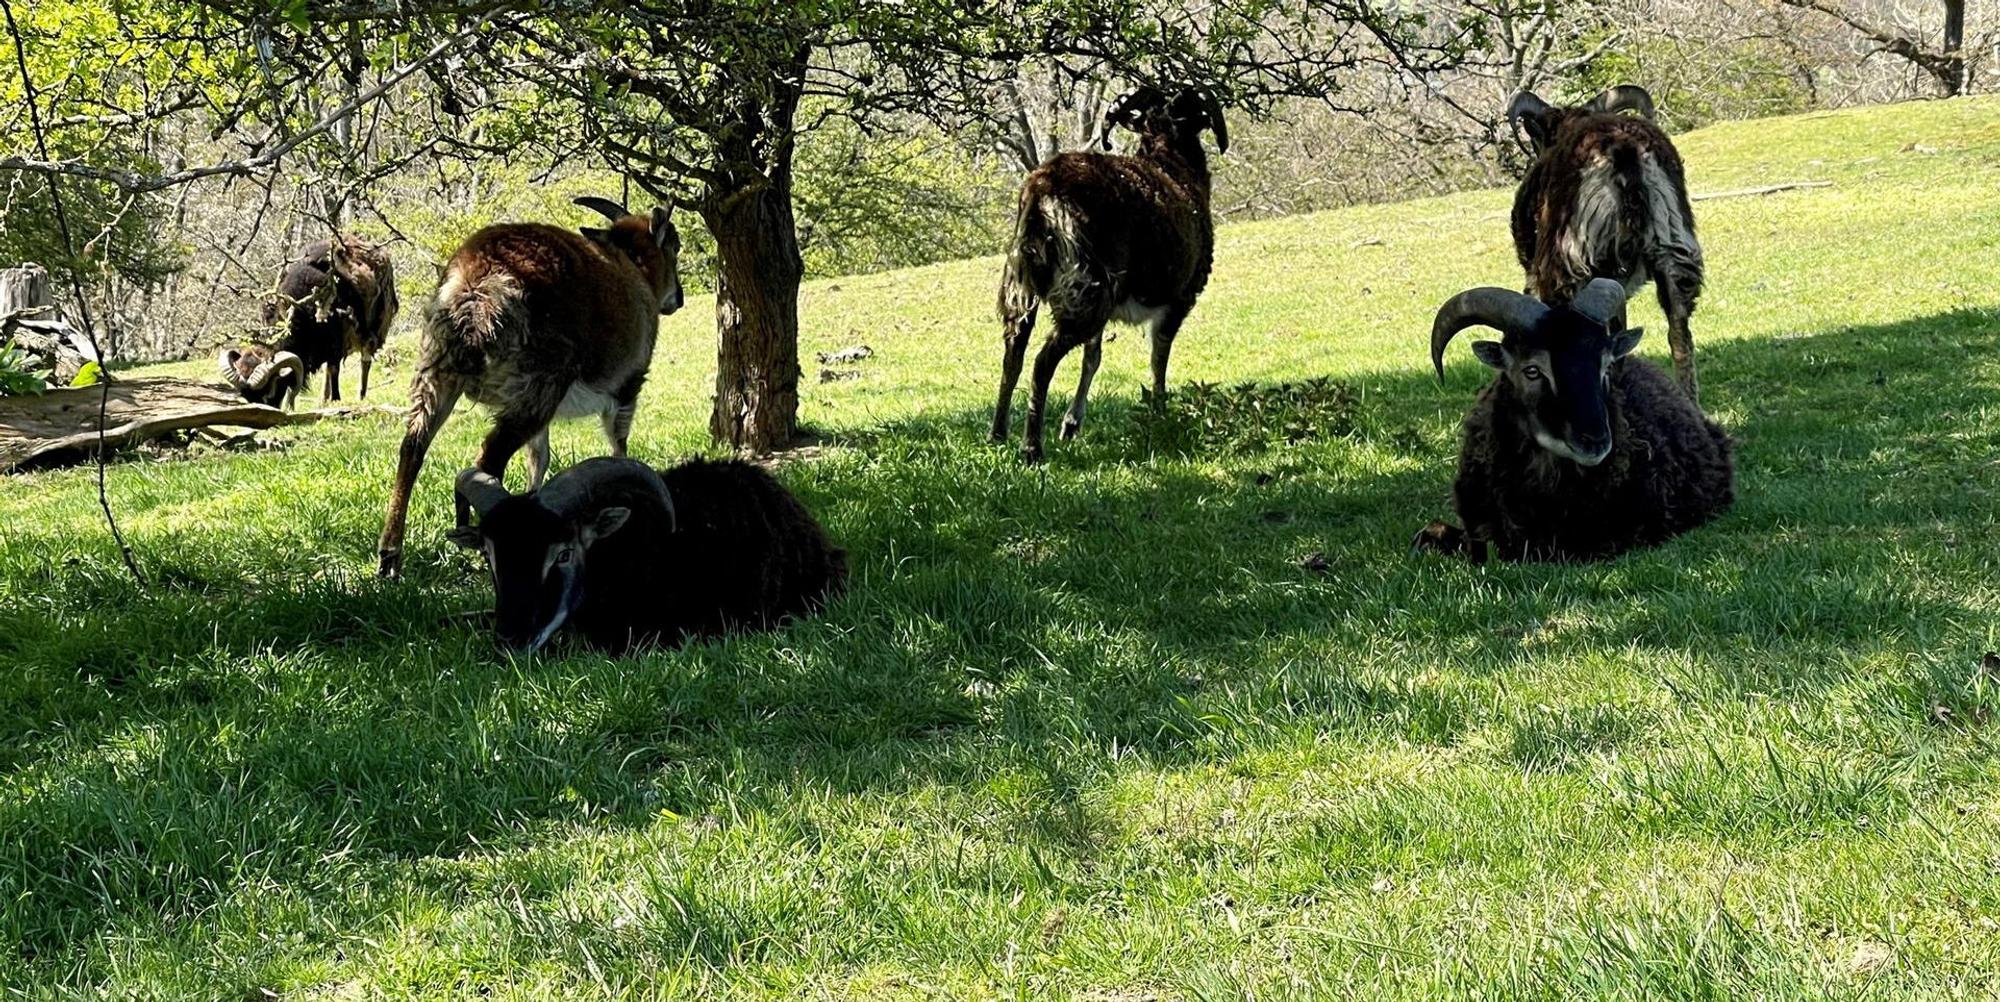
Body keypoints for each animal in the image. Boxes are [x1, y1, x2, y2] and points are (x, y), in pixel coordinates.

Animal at [252, 233, 401, 403]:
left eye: (272, 384)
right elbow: (328, 369)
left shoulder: (338, 335)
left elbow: (333, 368)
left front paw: (336, 398)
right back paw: (324, 398)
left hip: (374, 327)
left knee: (365, 359)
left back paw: (361, 395)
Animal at [376, 196, 685, 579]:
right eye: (675, 245)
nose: (678, 299)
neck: (633, 271)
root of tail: (478, 286)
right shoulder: (628, 384)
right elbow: (618, 448)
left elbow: (539, 457)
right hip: (542, 380)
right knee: (488, 459)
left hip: (438, 365)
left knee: (413, 447)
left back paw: (390, 556)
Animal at [991, 85, 1227, 462]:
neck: (1171, 159)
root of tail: (1043, 191)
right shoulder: (1180, 296)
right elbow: (1159, 357)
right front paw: (1160, 414)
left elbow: (1093, 358)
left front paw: (1071, 425)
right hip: (1084, 288)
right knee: (1042, 362)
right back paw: (1032, 448)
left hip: (1023, 283)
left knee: (1013, 355)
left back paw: (998, 435)